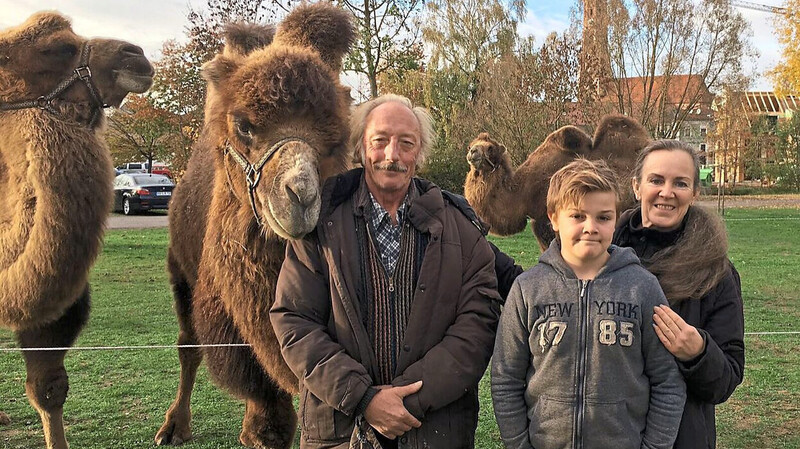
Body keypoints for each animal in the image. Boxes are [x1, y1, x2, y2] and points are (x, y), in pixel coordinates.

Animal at [155, 4, 354, 448]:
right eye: (243, 125)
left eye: (337, 140)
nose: (301, 195)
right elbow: (268, 419)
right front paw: (253, 431)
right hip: (180, 271)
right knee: (187, 345)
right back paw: (173, 426)